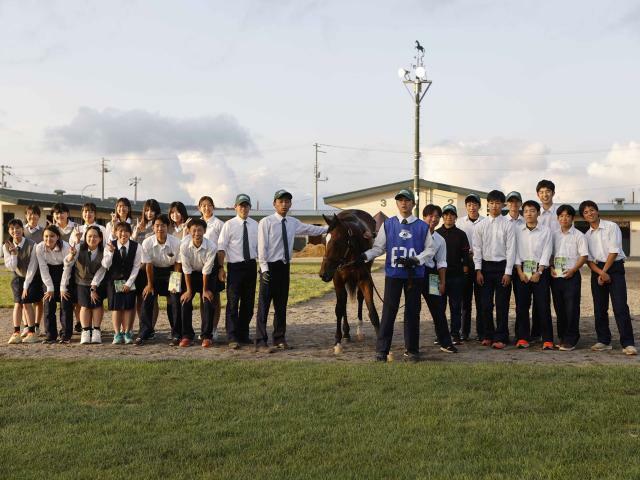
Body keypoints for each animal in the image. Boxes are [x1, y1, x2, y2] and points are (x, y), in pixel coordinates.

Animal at [318, 209, 378, 352]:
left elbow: (371, 310)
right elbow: (339, 308)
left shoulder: (365, 279)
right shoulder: (338, 280)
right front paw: (338, 341)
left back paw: (359, 331)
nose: (323, 274)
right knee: (343, 303)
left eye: (336, 242)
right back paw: (346, 333)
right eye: (324, 242)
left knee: (359, 298)